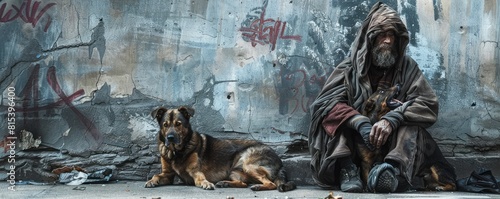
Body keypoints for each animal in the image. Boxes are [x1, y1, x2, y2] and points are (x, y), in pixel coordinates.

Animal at [144, 105, 296, 191]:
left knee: (271, 184)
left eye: (178, 124)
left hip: (248, 164)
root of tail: (279, 161)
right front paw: (151, 181)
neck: (177, 151)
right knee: (243, 183)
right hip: (234, 171)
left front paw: (206, 183)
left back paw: (258, 186)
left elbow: (200, 179)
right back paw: (225, 183)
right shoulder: (167, 174)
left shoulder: (196, 172)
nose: (170, 138)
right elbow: (157, 175)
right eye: (165, 124)